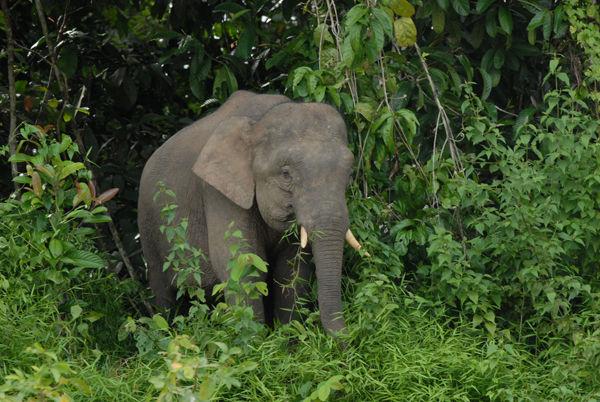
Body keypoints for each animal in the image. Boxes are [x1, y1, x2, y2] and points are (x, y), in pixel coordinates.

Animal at [138, 91, 366, 332]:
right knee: (164, 295)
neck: (259, 122)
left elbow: (292, 268)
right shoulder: (217, 193)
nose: (349, 336)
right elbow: (240, 263)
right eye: (286, 174)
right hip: (149, 227)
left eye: (349, 174)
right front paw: (255, 340)